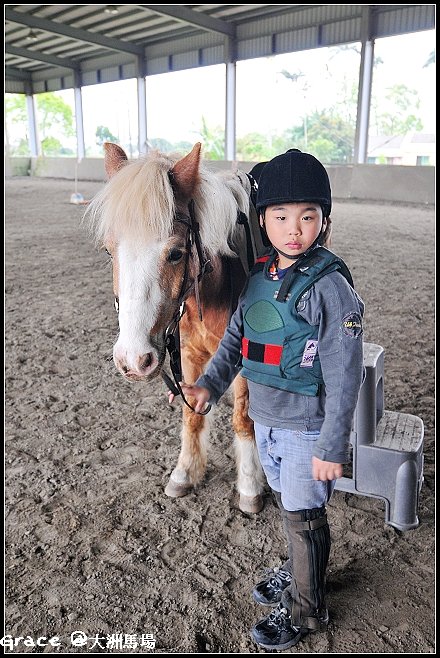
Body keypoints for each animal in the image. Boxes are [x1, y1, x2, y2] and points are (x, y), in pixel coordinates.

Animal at [84, 142, 266, 512]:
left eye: (176, 253)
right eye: (109, 251)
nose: (133, 359)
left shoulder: (244, 361)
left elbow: (243, 419)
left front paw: (250, 485)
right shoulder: (190, 356)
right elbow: (192, 414)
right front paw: (185, 472)